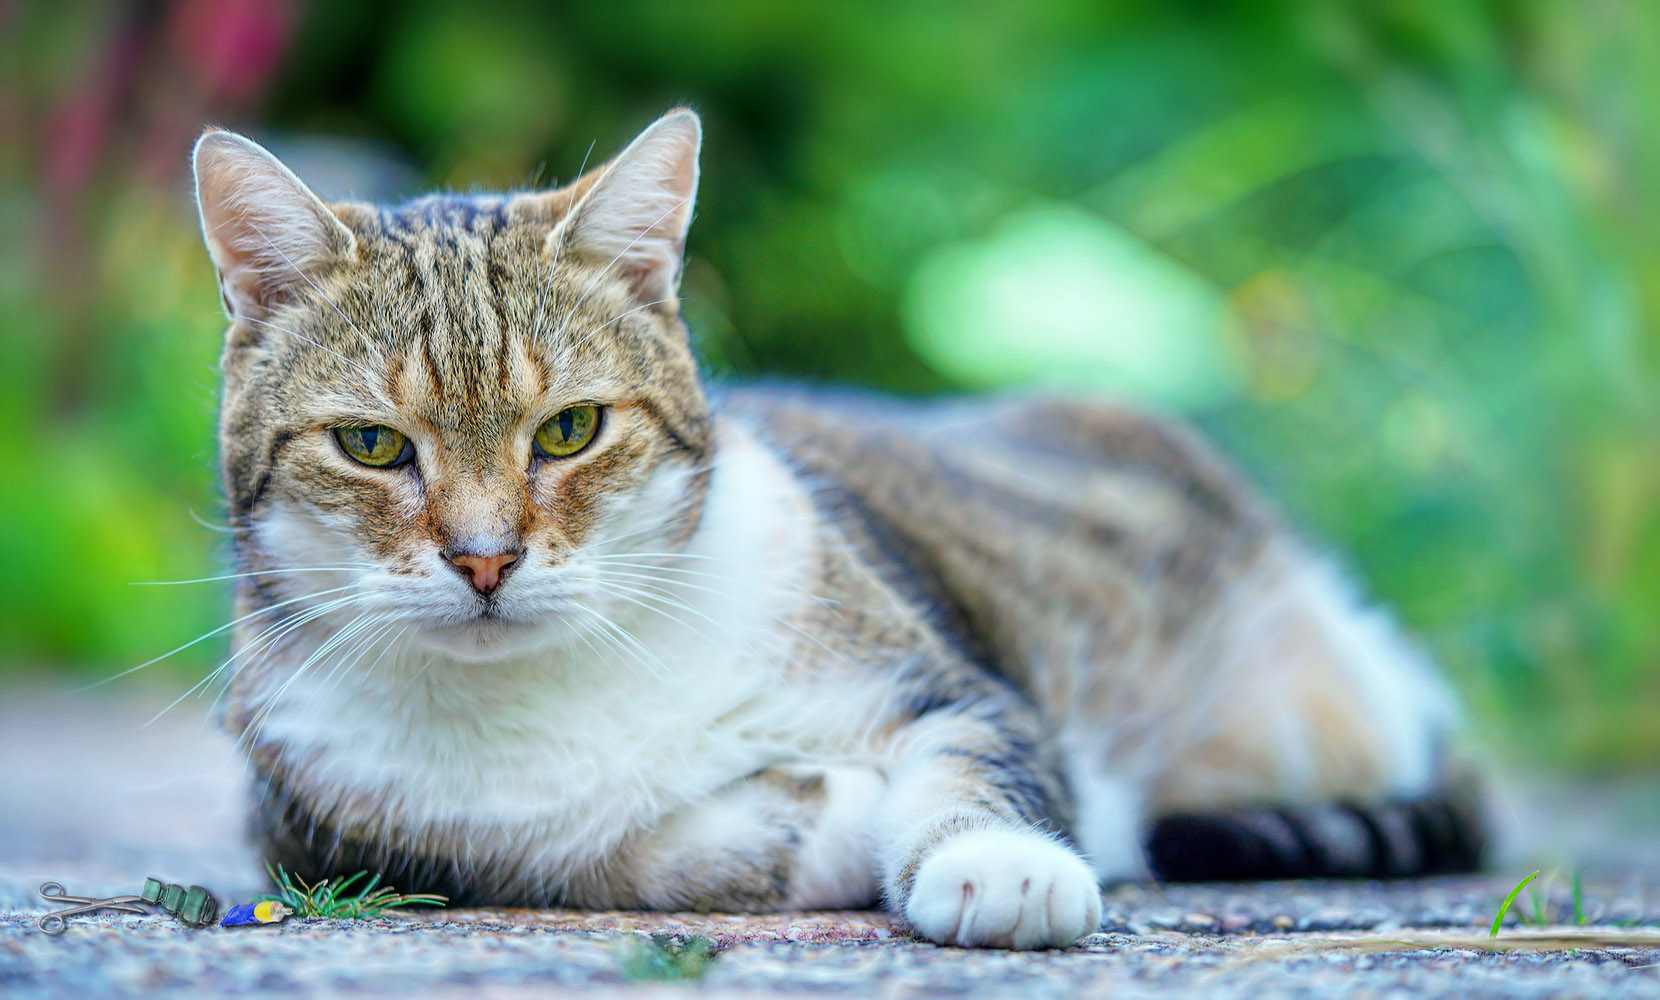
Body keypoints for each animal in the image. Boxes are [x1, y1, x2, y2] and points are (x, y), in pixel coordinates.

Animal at [190, 108, 1480, 950]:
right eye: (372, 445)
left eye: (568, 430)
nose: (484, 559)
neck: (561, 683)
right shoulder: (332, 833)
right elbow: (601, 848)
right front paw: (833, 812)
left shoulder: (958, 684)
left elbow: (979, 762)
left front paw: (994, 861)